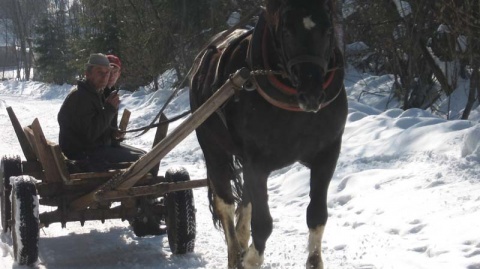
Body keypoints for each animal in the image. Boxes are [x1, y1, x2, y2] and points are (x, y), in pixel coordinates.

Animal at [189, 1, 346, 266]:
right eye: (287, 31)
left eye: (328, 31)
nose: (312, 94)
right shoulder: (257, 164)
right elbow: (262, 224)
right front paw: (250, 260)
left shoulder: (327, 155)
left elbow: (316, 215)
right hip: (213, 150)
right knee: (226, 205)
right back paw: (235, 255)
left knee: (245, 202)